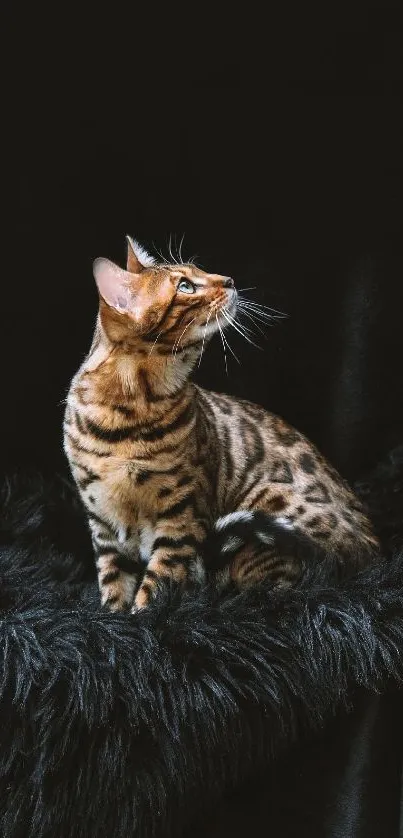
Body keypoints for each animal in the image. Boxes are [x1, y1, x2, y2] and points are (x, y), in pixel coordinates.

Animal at [62, 236, 378, 612]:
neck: (127, 412)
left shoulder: (182, 515)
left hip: (270, 506)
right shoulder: (103, 520)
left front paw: (144, 617)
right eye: (185, 286)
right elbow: (113, 583)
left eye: (199, 271)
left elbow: (157, 581)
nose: (228, 280)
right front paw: (114, 619)